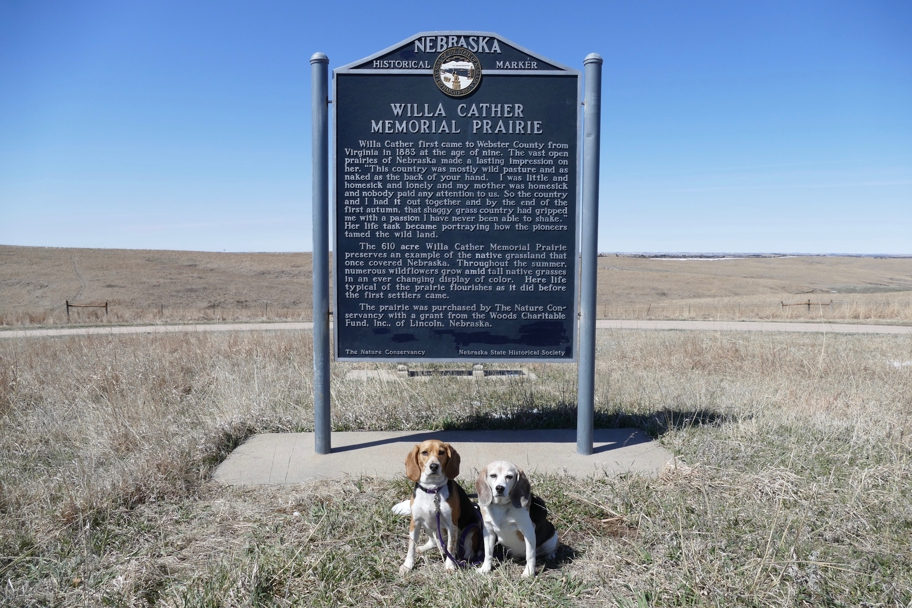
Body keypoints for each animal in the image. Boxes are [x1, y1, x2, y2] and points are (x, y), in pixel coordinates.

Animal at [400, 436, 484, 576]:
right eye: (424, 452)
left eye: (441, 452)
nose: (434, 466)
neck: (432, 489)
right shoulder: (415, 522)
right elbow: (411, 546)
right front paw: (407, 565)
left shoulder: (451, 525)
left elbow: (450, 546)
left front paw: (450, 565)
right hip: (429, 527)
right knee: (434, 542)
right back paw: (423, 548)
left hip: (472, 530)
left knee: (466, 552)